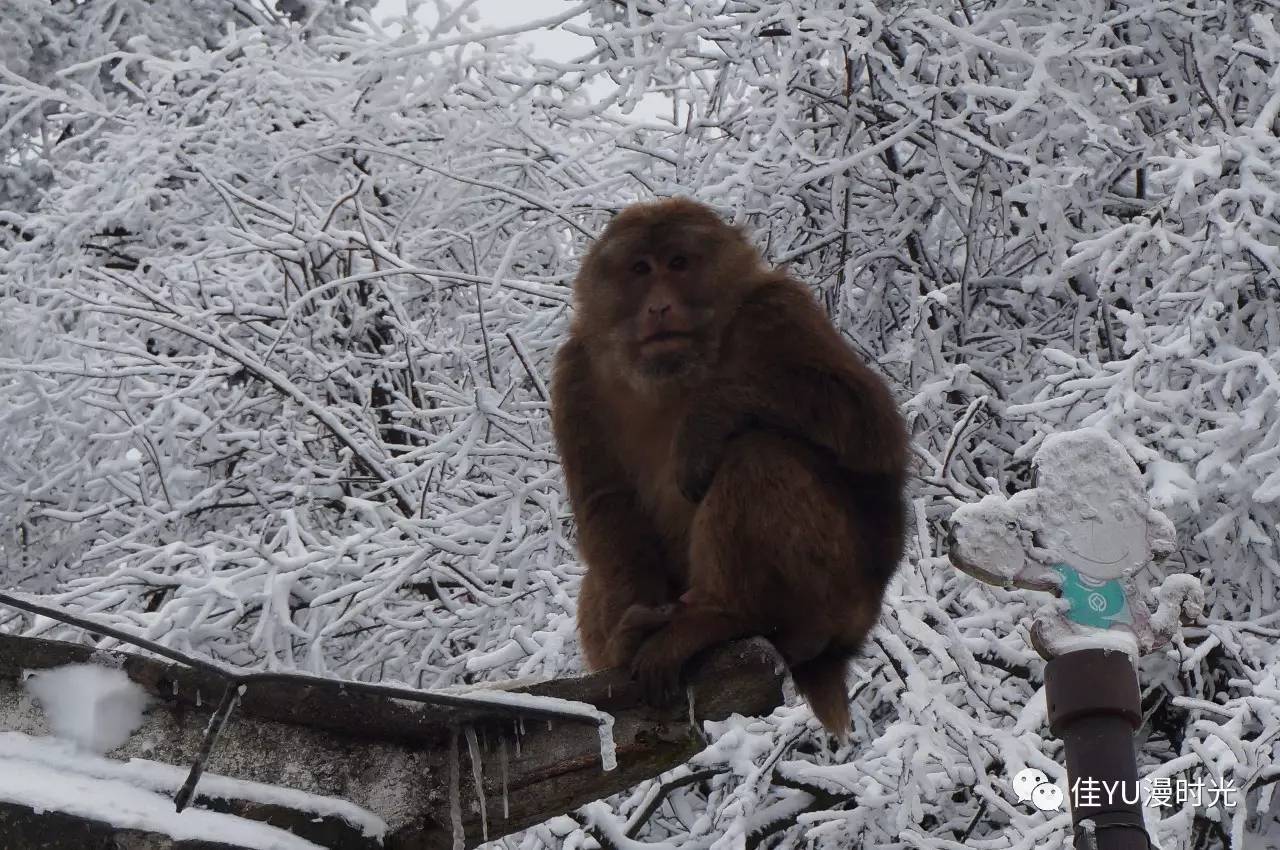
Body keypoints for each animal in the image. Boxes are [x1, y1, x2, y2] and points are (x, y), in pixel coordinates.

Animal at [552, 197, 911, 737]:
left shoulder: (778, 309)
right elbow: (608, 505)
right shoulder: (574, 373)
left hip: (839, 598)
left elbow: (871, 427)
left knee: (757, 454)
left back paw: (724, 614)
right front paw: (625, 642)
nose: (659, 306)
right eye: (640, 269)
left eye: (678, 263)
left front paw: (706, 418)